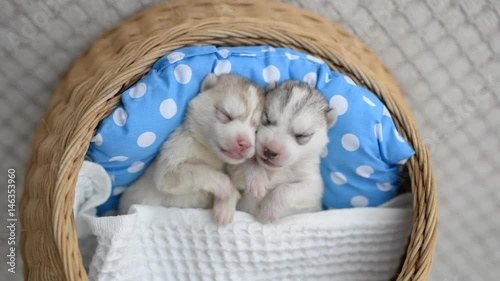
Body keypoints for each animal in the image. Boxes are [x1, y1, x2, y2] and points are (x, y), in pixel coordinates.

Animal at [119, 73, 266, 224]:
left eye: (256, 130)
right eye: (226, 114)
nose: (245, 143)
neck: (211, 153)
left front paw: (255, 176)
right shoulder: (172, 158)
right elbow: (199, 170)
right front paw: (226, 187)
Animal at [227, 80, 336, 222]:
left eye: (302, 135)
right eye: (267, 119)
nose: (270, 151)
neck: (278, 170)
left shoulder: (314, 185)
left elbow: (288, 189)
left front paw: (268, 209)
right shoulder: (234, 173)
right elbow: (243, 166)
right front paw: (256, 176)